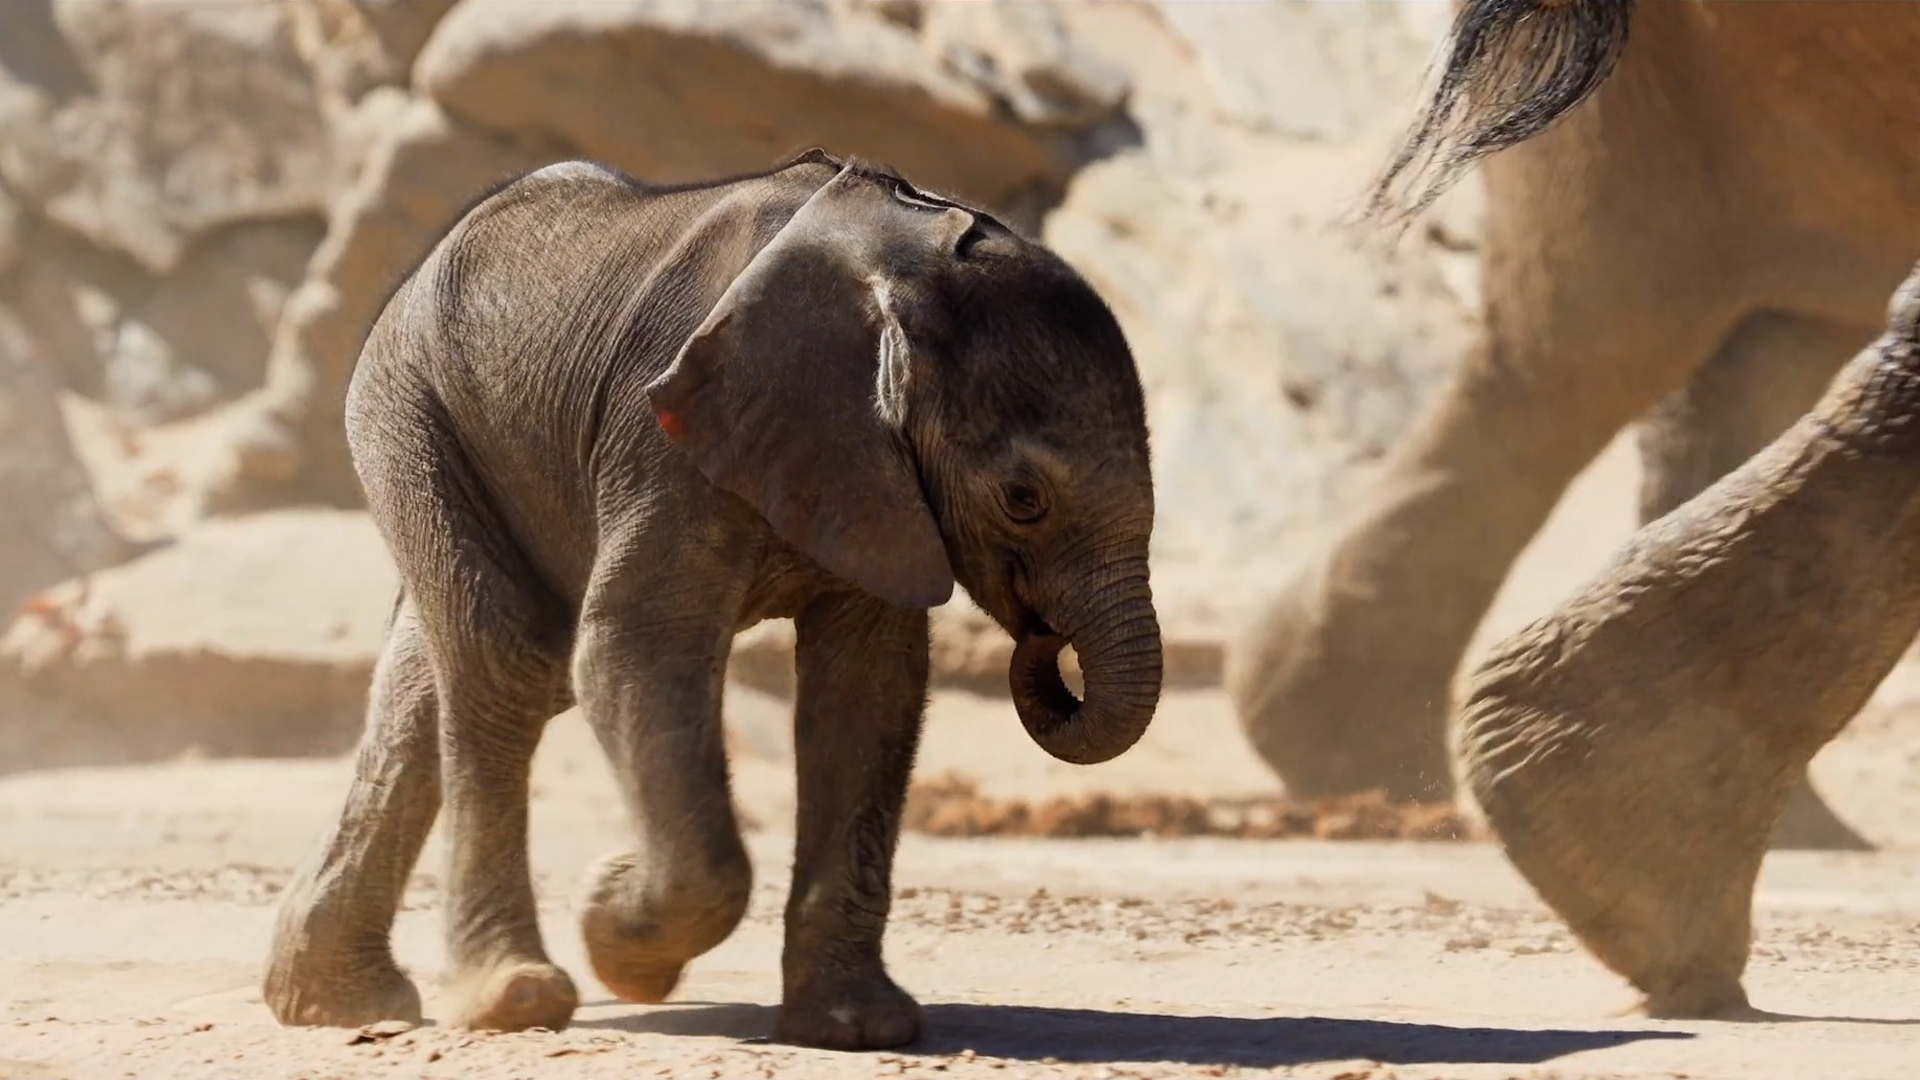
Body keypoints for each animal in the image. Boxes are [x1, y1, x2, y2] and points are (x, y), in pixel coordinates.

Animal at [263, 147, 1159, 1045]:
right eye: (1023, 499)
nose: (1043, 638)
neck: (900, 257)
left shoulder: (873, 470)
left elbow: (868, 688)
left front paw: (857, 1027)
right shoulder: (663, 428)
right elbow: (634, 646)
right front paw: (612, 919)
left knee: (439, 677)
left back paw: (335, 1002)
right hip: (410, 407)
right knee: (510, 659)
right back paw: (509, 1001)